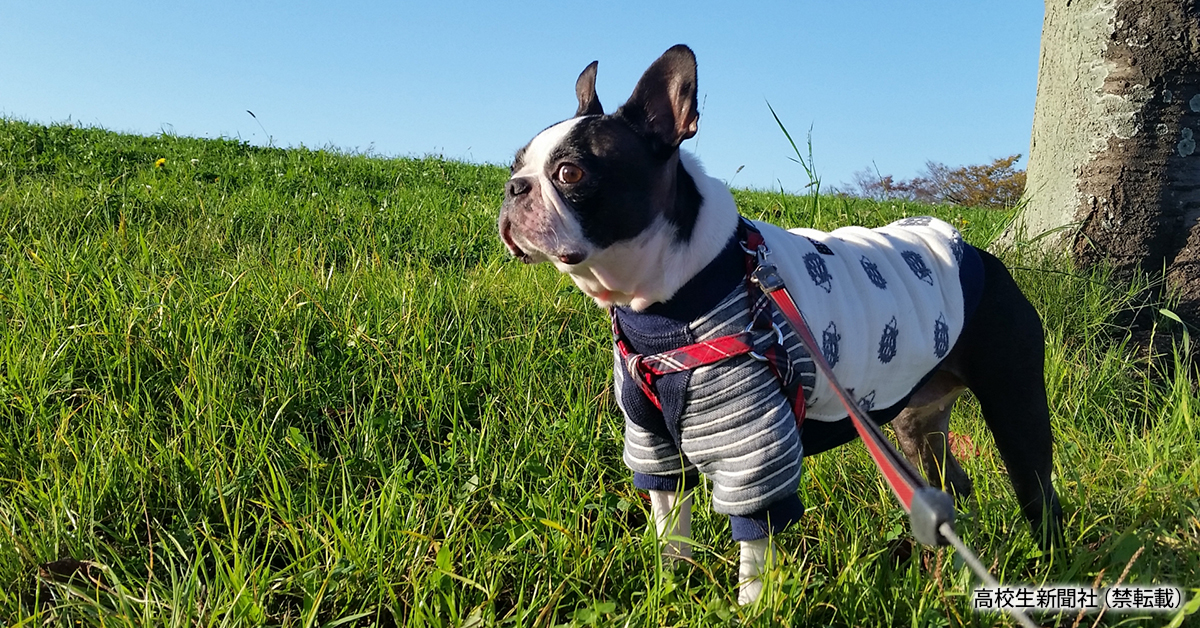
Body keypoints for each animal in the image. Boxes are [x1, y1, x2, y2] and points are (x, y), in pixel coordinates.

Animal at [496, 44, 1060, 605]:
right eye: (516, 164)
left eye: (571, 174)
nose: (512, 188)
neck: (665, 311)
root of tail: (981, 256)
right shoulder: (653, 441)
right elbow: (671, 525)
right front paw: (670, 585)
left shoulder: (753, 447)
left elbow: (754, 541)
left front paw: (750, 605)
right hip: (915, 423)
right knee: (947, 485)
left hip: (1015, 404)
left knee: (1039, 494)